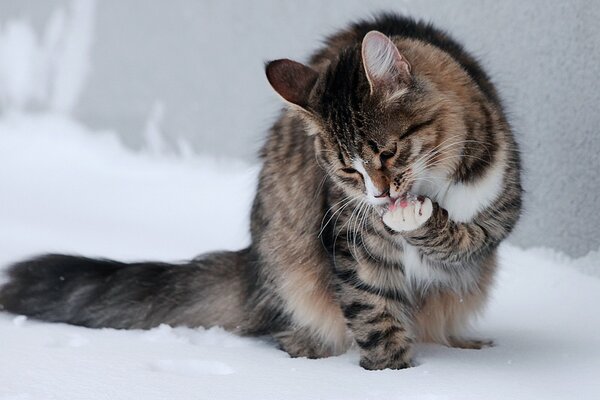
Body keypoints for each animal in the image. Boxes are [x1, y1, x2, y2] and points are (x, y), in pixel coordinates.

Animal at [0, 14, 520, 370]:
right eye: (347, 171)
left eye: (387, 153)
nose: (378, 196)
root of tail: (252, 263)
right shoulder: (353, 243)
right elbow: (373, 314)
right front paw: (395, 373)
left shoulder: (502, 206)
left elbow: (463, 236)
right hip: (289, 263)